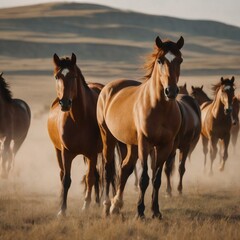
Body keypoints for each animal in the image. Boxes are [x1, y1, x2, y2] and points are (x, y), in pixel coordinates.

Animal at [47, 53, 108, 218]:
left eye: (73, 76)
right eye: (57, 77)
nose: (65, 103)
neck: (79, 119)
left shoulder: (92, 153)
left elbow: (90, 178)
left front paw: (86, 206)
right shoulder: (66, 152)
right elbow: (66, 180)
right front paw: (62, 209)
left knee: (96, 175)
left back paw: (97, 202)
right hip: (58, 151)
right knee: (62, 174)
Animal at [96, 36, 185, 219]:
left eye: (179, 60)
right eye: (160, 60)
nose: (171, 91)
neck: (159, 107)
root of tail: (108, 88)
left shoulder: (165, 146)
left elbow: (156, 180)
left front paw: (156, 211)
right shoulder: (145, 143)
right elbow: (144, 179)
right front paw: (140, 212)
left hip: (131, 145)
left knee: (124, 168)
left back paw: (116, 205)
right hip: (108, 138)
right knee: (108, 170)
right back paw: (107, 206)